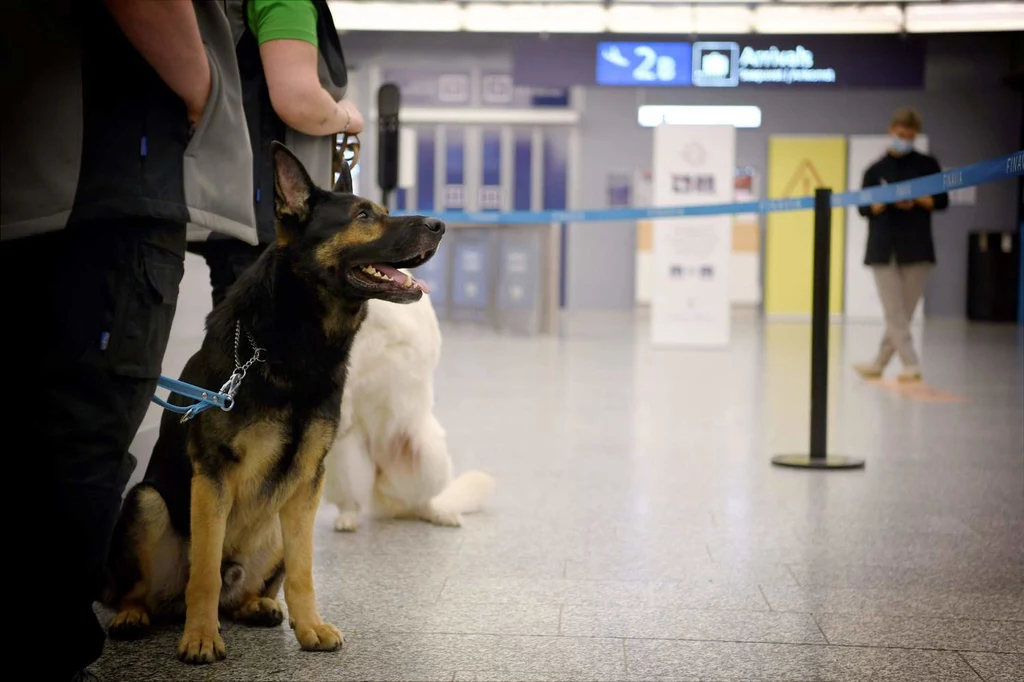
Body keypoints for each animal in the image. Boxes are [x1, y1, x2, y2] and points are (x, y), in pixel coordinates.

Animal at [103, 140, 444, 659]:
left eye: (381, 212)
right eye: (364, 215)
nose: (440, 225)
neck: (293, 344)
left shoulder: (307, 482)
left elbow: (303, 572)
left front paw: (311, 627)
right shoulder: (213, 477)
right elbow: (204, 571)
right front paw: (200, 638)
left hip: (275, 528)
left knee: (253, 587)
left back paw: (256, 605)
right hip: (147, 503)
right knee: (147, 586)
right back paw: (134, 615)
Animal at [321, 288, 493, 528]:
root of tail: (380, 470)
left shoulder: (395, 340)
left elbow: (362, 358)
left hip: (429, 455)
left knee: (423, 502)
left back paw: (441, 514)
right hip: (344, 461)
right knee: (351, 502)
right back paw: (347, 519)